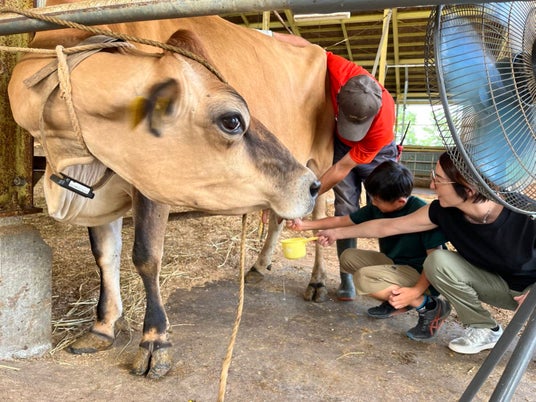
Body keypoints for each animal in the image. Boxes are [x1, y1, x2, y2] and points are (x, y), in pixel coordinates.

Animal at [8, 1, 334, 379]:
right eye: (233, 120)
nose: (306, 184)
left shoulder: (151, 184)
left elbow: (146, 256)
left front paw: (154, 341)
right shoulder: (98, 187)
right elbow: (105, 254)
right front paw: (102, 327)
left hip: (322, 158)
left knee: (323, 214)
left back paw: (317, 281)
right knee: (280, 216)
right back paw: (258, 266)